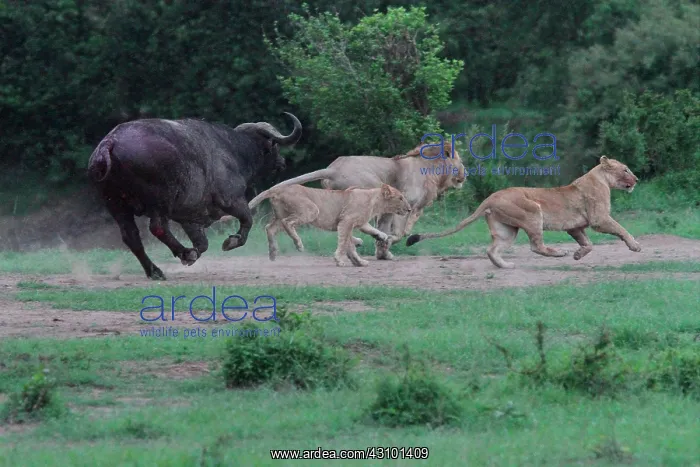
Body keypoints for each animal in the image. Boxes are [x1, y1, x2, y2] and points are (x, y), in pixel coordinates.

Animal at [87, 112, 302, 280]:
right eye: (274, 146)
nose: (282, 162)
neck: (233, 151)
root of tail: (110, 142)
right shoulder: (232, 200)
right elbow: (247, 220)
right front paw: (231, 242)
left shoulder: (190, 218)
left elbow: (203, 244)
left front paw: (196, 253)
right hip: (160, 202)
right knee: (157, 227)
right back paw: (184, 252)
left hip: (116, 205)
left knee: (131, 236)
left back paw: (155, 271)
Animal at [252, 183, 412, 267]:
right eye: (400, 198)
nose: (410, 209)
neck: (375, 202)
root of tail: (279, 188)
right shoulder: (346, 221)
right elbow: (343, 243)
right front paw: (339, 260)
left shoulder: (356, 223)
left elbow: (360, 237)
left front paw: (361, 260)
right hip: (311, 210)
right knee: (288, 223)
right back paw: (298, 244)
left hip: (280, 215)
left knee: (270, 228)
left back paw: (273, 252)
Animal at [406, 156, 642, 268]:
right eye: (625, 169)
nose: (637, 179)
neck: (602, 179)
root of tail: (490, 197)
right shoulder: (599, 219)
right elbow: (621, 229)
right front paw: (635, 246)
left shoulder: (576, 227)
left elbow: (588, 244)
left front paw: (578, 254)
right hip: (533, 212)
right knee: (536, 246)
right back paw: (558, 252)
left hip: (507, 230)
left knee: (492, 250)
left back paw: (506, 266)